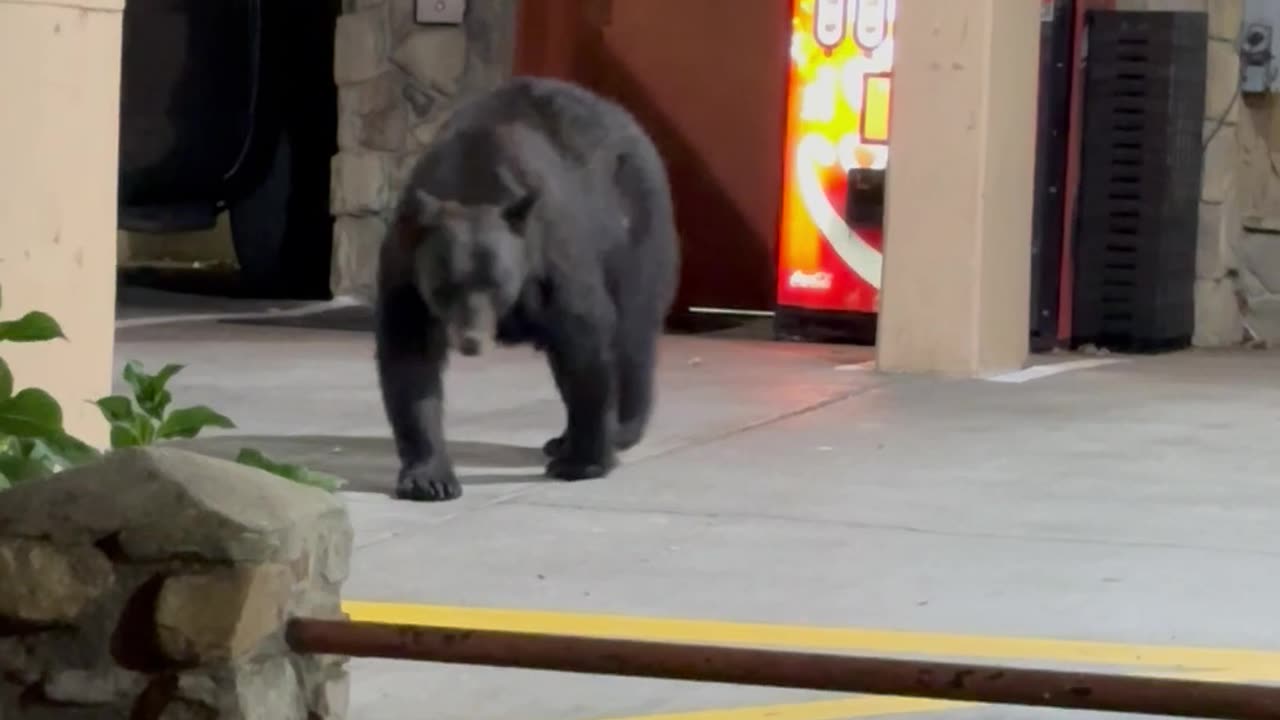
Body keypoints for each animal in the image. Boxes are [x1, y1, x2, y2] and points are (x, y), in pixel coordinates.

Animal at [373, 73, 686, 499]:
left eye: (496, 283)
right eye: (445, 285)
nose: (471, 342)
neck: (471, 180)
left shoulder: (550, 259)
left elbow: (586, 340)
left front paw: (584, 461)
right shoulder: (405, 272)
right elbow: (409, 359)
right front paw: (429, 477)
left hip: (634, 232)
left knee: (632, 331)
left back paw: (620, 428)